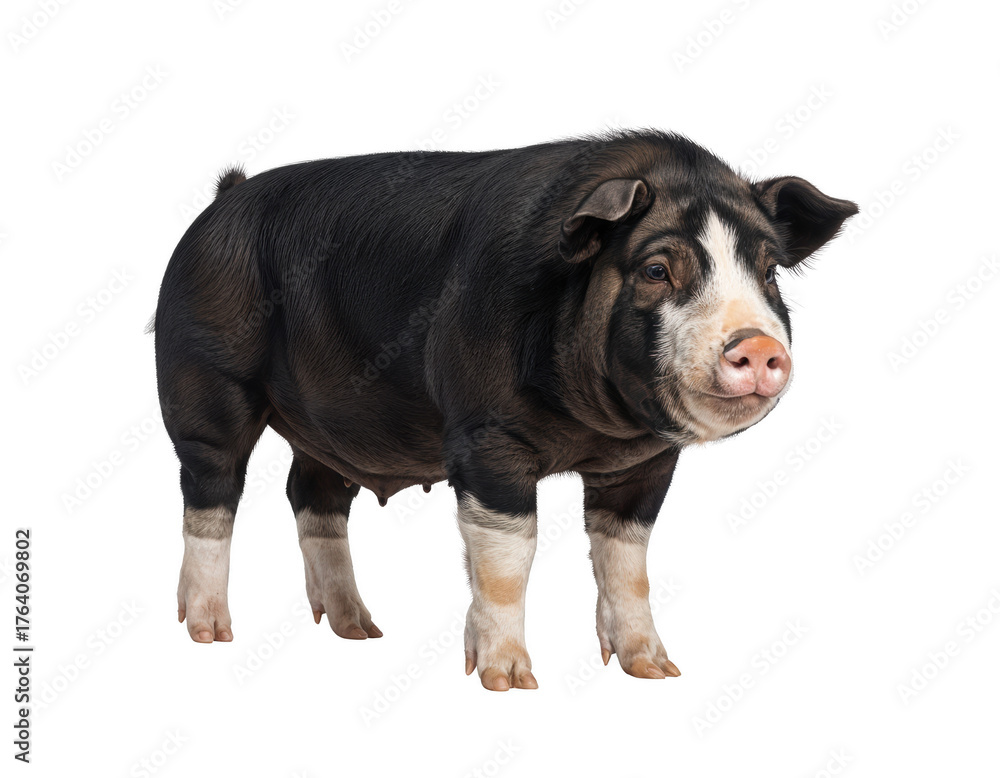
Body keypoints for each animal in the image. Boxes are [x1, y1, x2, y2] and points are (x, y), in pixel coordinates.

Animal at [153, 130, 857, 690]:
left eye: (769, 273)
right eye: (657, 269)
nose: (759, 345)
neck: (592, 430)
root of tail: (222, 199)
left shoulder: (645, 467)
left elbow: (628, 565)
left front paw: (657, 671)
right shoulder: (485, 439)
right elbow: (507, 561)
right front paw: (508, 682)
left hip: (327, 429)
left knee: (312, 494)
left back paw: (360, 630)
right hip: (202, 382)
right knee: (210, 489)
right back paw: (210, 633)